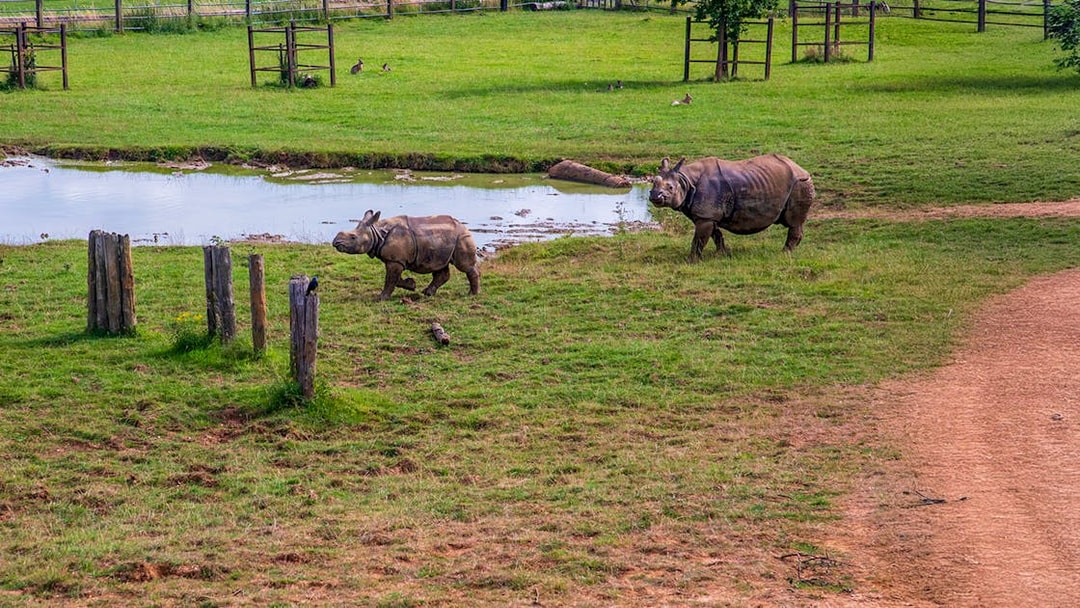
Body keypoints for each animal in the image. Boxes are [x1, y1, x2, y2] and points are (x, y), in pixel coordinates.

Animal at [332, 210, 480, 301]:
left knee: (465, 266)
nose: (335, 242)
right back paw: (427, 293)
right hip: (443, 241)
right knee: (440, 266)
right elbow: (395, 279)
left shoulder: (395, 260)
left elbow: (390, 279)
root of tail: (464, 227)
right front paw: (412, 285)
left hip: (461, 237)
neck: (377, 233)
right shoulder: (395, 260)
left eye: (353, 237)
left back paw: (472, 295)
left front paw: (381, 298)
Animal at [648, 154, 815, 262]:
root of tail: (800, 168)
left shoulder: (705, 216)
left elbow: (699, 239)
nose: (655, 197)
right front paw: (723, 254)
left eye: (670, 188)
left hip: (800, 183)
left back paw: (784, 253)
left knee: (793, 222)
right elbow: (715, 235)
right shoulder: (708, 215)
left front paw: (691, 261)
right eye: (652, 183)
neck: (685, 179)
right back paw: (790, 251)